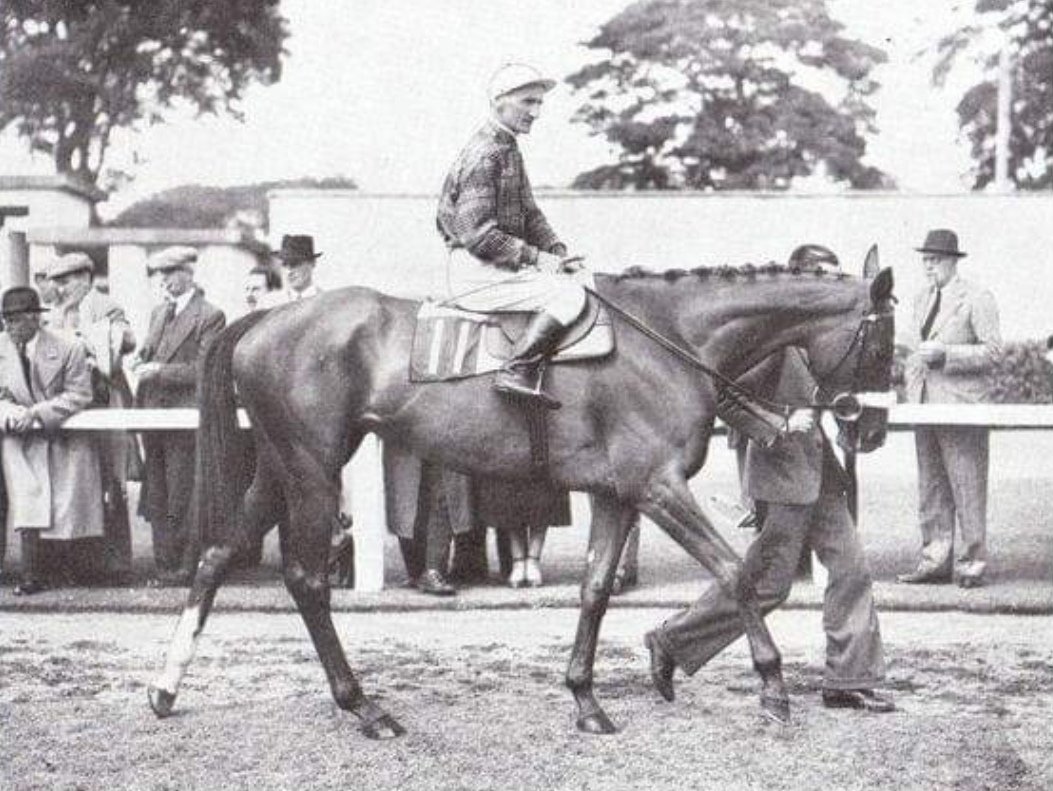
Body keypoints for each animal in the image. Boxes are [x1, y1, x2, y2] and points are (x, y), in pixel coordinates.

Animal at [148, 263, 892, 741]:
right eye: (882, 343)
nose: (873, 429)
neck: (669, 339)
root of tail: (269, 316)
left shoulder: (616, 494)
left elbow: (595, 589)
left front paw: (586, 699)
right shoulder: (657, 487)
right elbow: (736, 574)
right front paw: (773, 690)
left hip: (279, 468)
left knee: (216, 556)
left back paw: (166, 688)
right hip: (312, 471)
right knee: (305, 579)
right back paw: (364, 707)